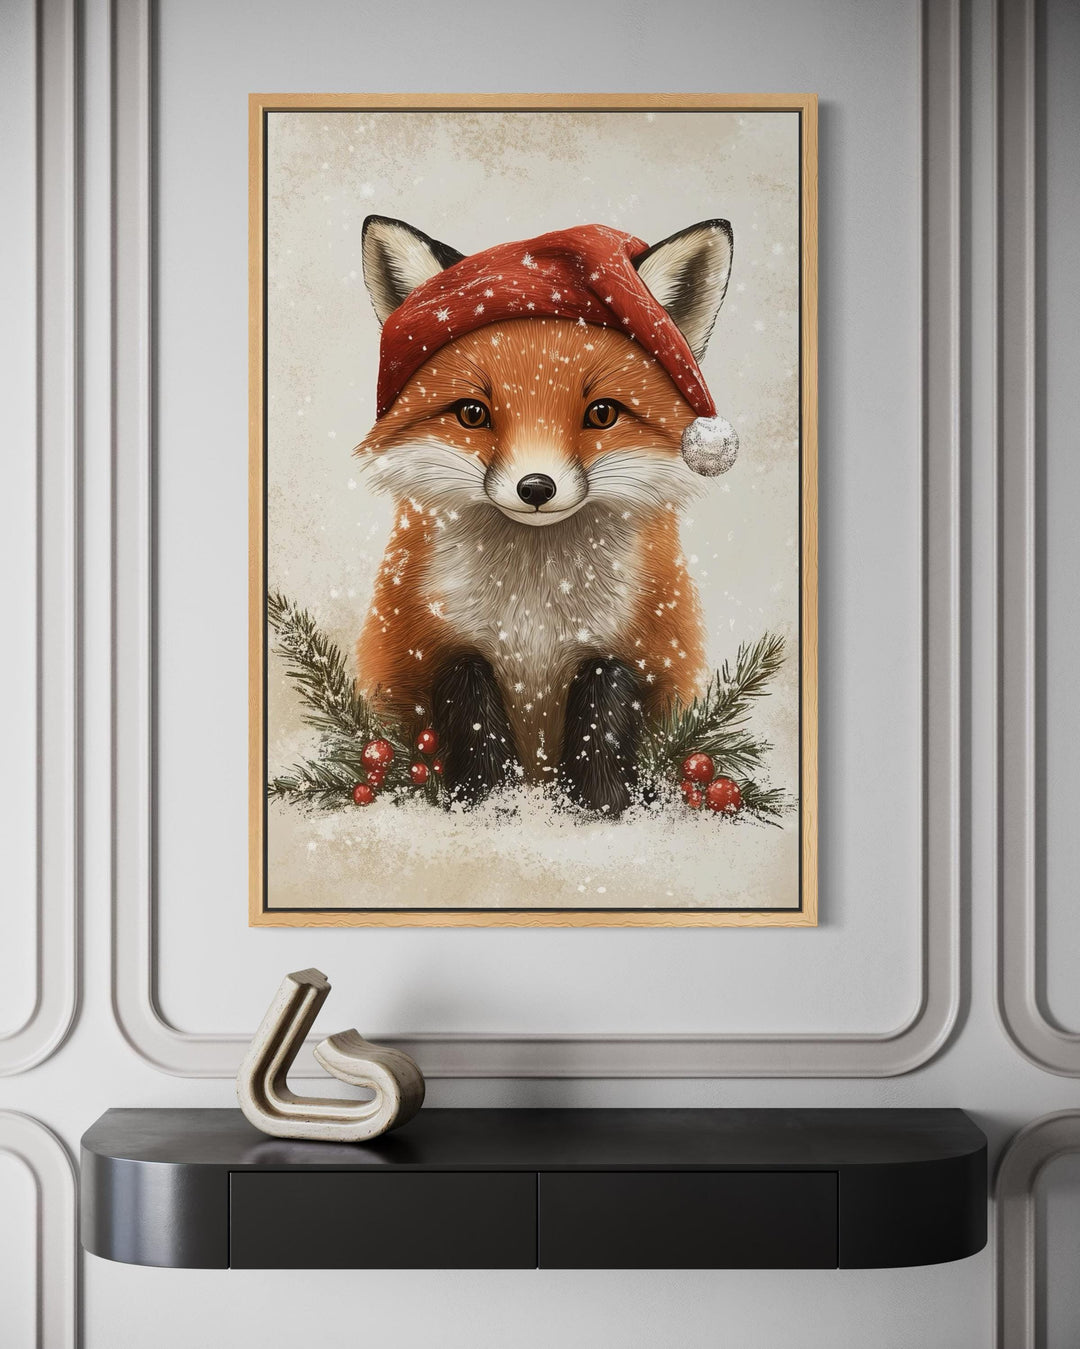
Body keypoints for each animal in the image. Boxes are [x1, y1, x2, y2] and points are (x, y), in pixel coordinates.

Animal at [354, 215, 735, 817]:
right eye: (472, 413)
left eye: (601, 414)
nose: (536, 487)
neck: (535, 617)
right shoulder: (420, 653)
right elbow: (469, 698)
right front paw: (489, 801)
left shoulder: (645, 652)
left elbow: (604, 703)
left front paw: (603, 805)